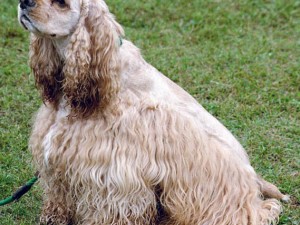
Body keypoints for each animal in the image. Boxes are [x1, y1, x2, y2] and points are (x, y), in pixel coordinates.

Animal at [17, 0, 288, 225]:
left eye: (61, 3)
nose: (24, 2)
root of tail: (254, 182)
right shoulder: (58, 156)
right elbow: (58, 194)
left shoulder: (115, 171)